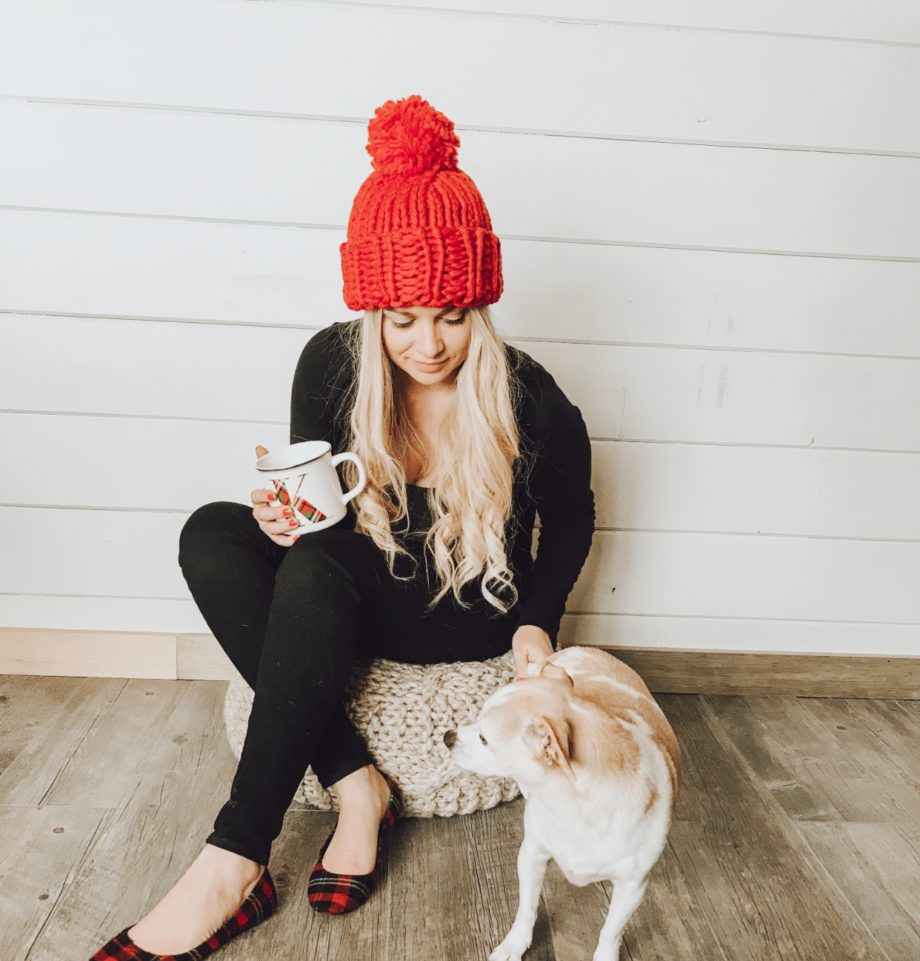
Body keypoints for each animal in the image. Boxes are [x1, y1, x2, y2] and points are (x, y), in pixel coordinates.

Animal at [442, 640, 680, 960]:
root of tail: (583, 648)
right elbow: (526, 909)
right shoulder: (531, 855)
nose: (447, 736)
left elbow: (611, 930)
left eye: (483, 738)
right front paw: (515, 945)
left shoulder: (633, 887)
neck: (571, 810)